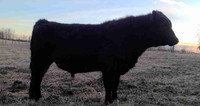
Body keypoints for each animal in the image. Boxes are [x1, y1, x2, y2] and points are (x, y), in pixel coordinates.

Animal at [29, 10, 178, 105]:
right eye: (164, 25)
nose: (176, 40)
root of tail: (43, 22)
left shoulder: (118, 69)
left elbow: (116, 84)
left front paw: (114, 99)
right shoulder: (109, 67)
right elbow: (109, 85)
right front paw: (107, 101)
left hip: (44, 62)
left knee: (39, 77)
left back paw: (38, 97)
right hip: (39, 60)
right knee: (36, 77)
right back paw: (32, 98)